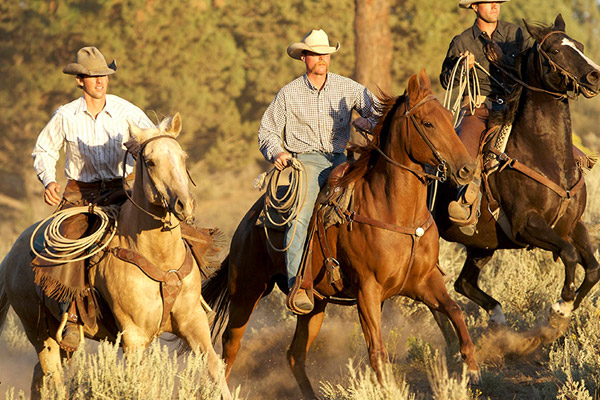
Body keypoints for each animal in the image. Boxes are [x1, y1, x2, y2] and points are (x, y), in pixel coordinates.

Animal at [0, 113, 232, 400]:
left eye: (183, 157)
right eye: (150, 161)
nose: (184, 204)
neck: (159, 256)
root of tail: (11, 254)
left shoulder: (193, 322)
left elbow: (215, 368)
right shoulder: (134, 336)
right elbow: (143, 384)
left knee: (40, 376)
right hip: (40, 332)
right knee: (53, 377)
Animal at [204, 70, 480, 398]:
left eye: (450, 117)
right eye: (427, 122)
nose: (466, 169)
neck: (395, 212)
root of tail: (247, 222)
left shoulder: (425, 281)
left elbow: (455, 311)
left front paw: (472, 367)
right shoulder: (367, 291)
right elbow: (377, 351)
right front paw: (388, 390)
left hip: (314, 306)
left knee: (295, 354)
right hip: (246, 291)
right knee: (229, 348)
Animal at [432, 14, 600, 328]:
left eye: (580, 46)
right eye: (555, 50)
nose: (595, 75)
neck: (544, 156)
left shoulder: (573, 224)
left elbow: (593, 268)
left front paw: (565, 310)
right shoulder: (526, 224)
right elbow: (569, 253)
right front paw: (560, 306)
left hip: (481, 246)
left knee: (463, 284)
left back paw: (497, 318)